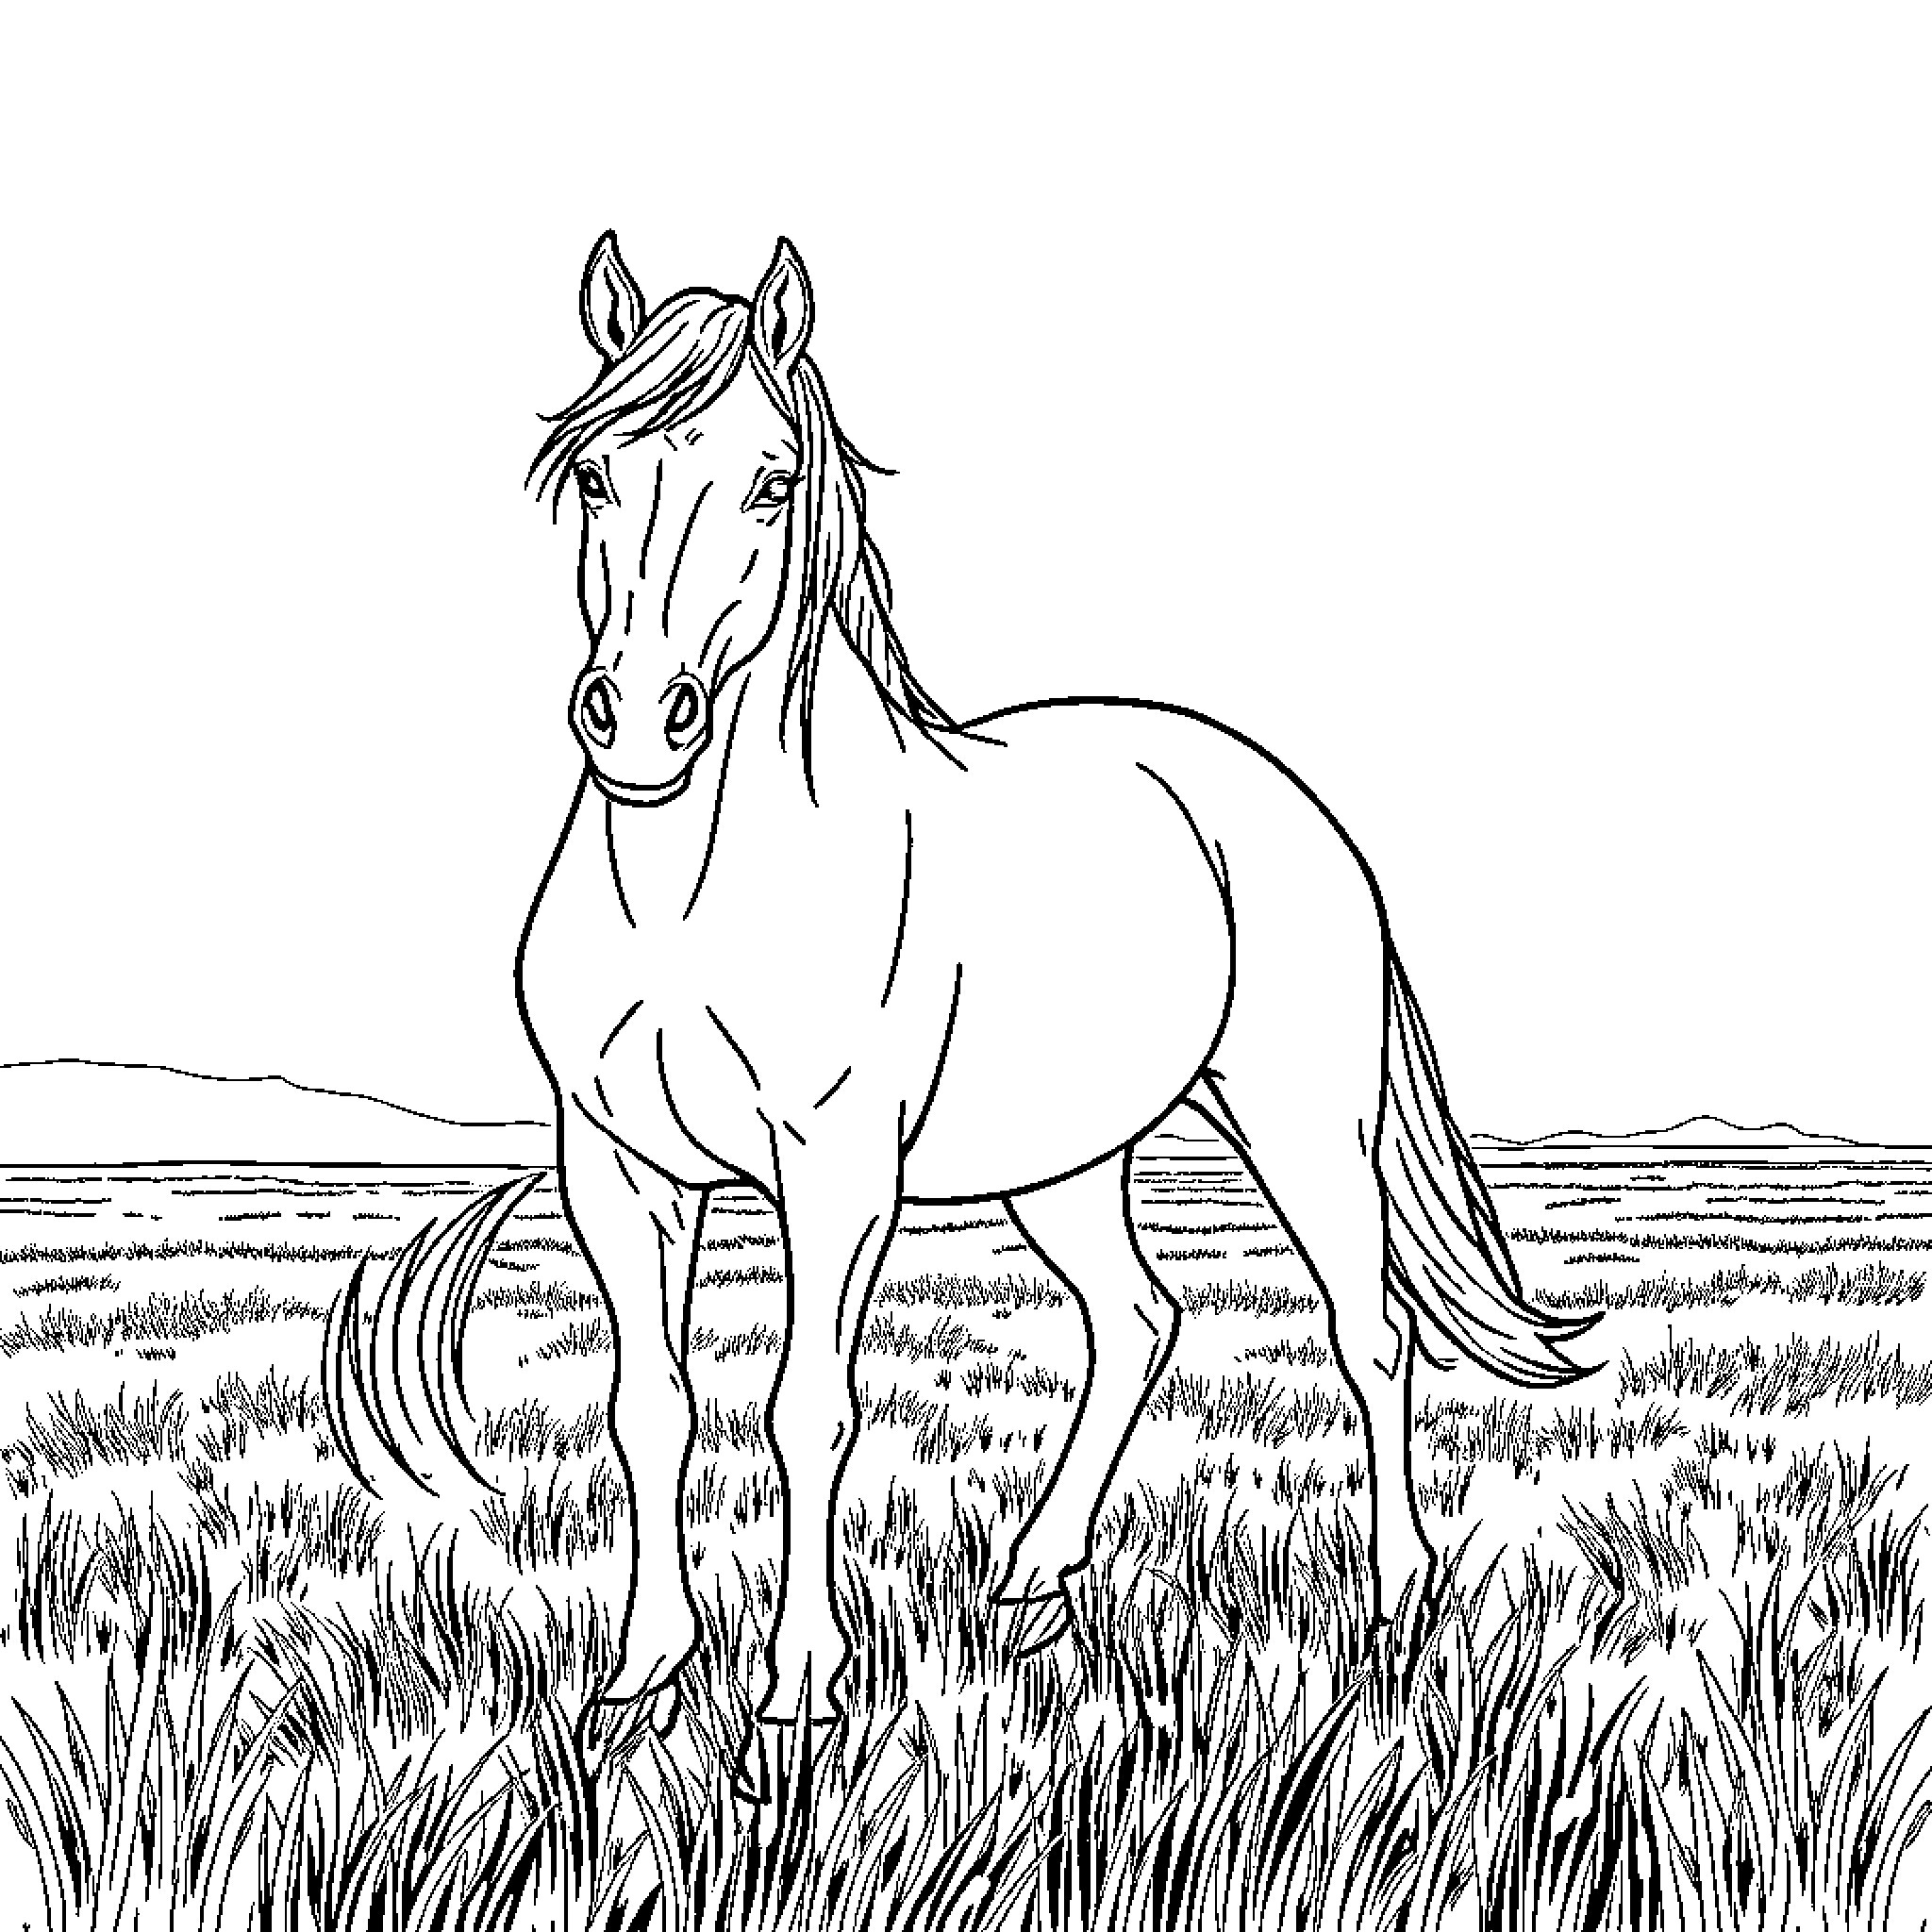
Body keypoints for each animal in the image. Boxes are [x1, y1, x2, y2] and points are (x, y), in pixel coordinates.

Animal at [506, 231, 1597, 1800]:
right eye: (597, 473)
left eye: (772, 482)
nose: (642, 718)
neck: (687, 898)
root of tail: (1276, 794)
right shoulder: (616, 1167)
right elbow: (649, 1407)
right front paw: (640, 1685)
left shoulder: (834, 1170)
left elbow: (807, 1407)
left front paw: (799, 1697)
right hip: (1067, 1161)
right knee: (1138, 1317)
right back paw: (1031, 1579)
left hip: (1302, 1123)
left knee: (1371, 1332)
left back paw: (1397, 1604)